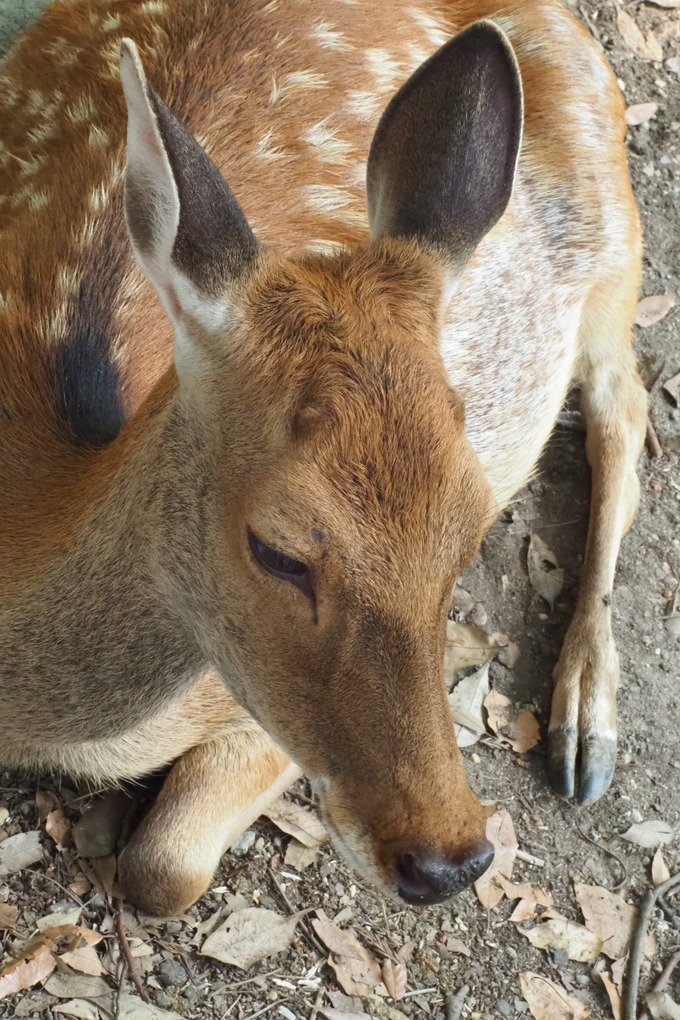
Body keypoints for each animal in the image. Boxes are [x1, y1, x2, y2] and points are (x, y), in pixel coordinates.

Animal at [0, 0, 647, 918]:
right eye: (278, 550)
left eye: (469, 536)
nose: (450, 860)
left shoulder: (248, 708)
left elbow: (164, 866)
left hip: (615, 224)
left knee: (626, 406)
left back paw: (584, 729)